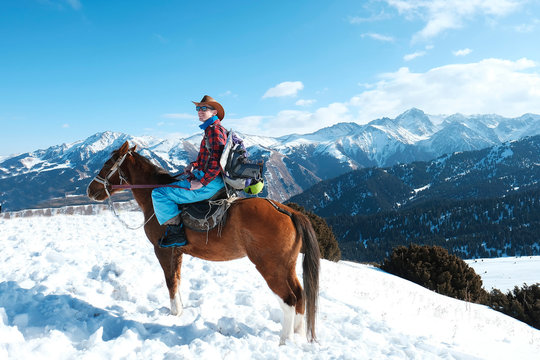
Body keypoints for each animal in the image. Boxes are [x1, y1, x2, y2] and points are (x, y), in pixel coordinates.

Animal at [86, 140, 318, 344]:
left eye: (107, 163)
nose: (90, 190)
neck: (152, 198)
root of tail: (289, 212)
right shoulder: (176, 252)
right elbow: (177, 280)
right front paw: (180, 311)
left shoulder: (162, 251)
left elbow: (170, 281)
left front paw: (174, 313)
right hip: (287, 265)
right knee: (300, 295)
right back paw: (297, 333)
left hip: (270, 266)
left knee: (289, 299)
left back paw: (284, 341)